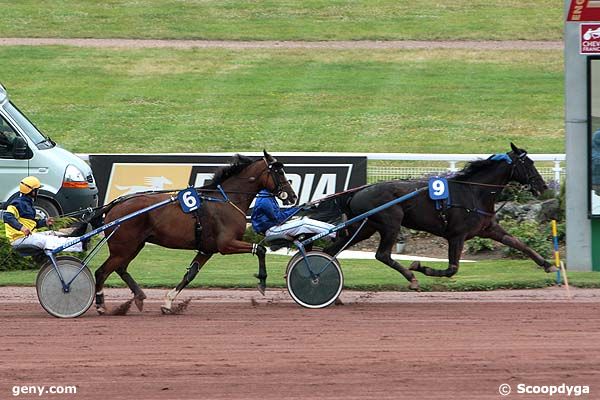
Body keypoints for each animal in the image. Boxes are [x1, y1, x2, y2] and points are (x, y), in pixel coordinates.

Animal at [92, 152, 298, 314]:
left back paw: (139, 296)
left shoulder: (207, 249)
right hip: (123, 248)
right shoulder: (226, 244)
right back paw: (101, 304)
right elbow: (260, 249)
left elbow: (190, 274)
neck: (226, 200)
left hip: (134, 246)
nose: (293, 196)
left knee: (120, 268)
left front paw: (168, 303)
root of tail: (115, 205)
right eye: (279, 172)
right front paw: (262, 282)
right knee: (101, 272)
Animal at [324, 144, 556, 290]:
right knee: (382, 255)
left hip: (364, 228)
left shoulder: (488, 229)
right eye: (529, 163)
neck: (474, 192)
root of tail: (357, 192)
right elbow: (452, 269)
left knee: (332, 251)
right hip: (391, 223)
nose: (543, 186)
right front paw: (420, 267)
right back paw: (411, 277)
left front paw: (547, 264)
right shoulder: (457, 235)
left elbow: (519, 243)